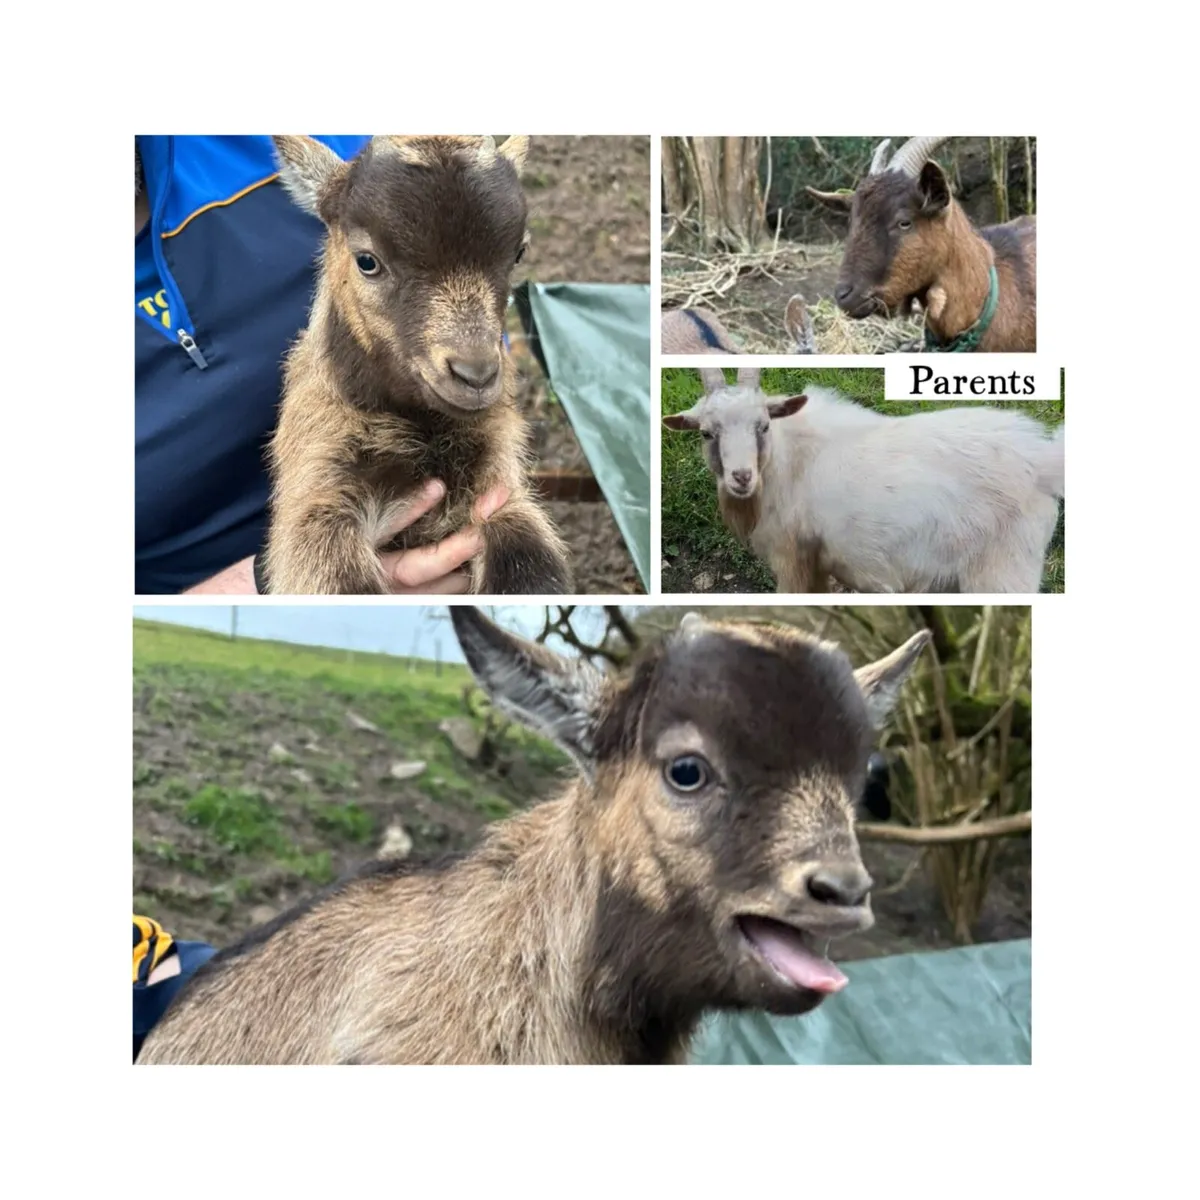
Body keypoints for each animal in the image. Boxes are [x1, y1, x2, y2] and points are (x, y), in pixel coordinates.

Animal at [260, 136, 572, 595]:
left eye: (519, 253)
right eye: (367, 261)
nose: (476, 375)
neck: (421, 427)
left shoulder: (499, 480)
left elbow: (530, 565)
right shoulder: (317, 481)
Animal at [663, 369, 1063, 593]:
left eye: (763, 426)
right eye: (706, 433)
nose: (741, 478)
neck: (786, 461)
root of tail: (1045, 460)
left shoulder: (792, 558)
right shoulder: (817, 564)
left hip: (1003, 572)